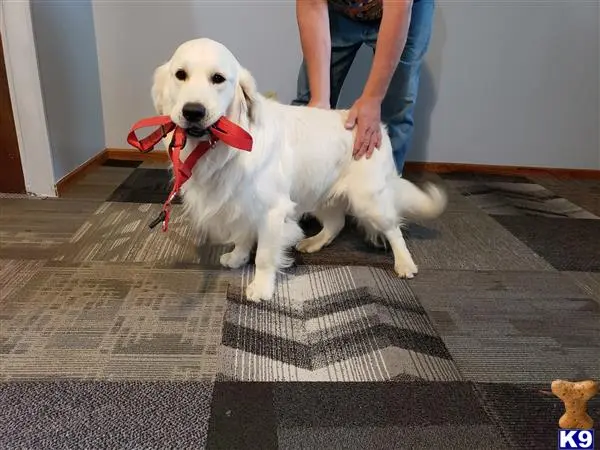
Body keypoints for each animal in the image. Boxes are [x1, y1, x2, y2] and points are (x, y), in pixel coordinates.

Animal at [152, 38, 448, 302]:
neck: (222, 149)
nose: (193, 111)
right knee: (336, 223)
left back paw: (405, 264)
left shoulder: (272, 210)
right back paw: (313, 242)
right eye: (180, 75)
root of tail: (379, 128)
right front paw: (237, 257)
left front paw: (261, 288)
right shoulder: (244, 202)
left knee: (394, 229)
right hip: (320, 194)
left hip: (369, 201)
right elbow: (243, 236)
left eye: (218, 78)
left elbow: (264, 256)